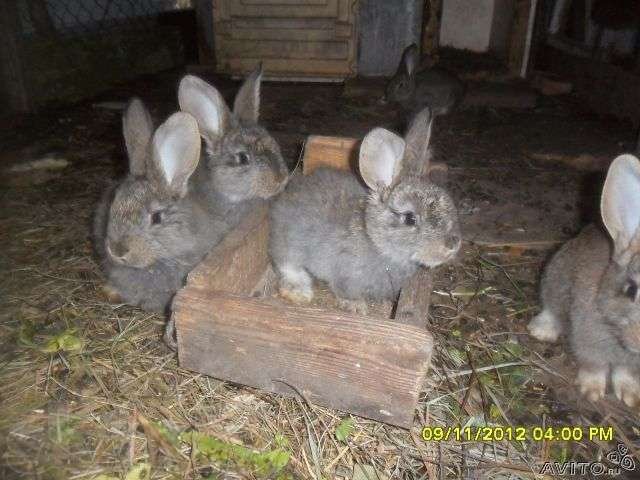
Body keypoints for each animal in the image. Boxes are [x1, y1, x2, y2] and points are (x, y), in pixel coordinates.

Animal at [268, 106, 460, 316]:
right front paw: (356, 307)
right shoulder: (345, 274)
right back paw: (300, 291)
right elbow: (345, 291)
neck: (375, 240)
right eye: (410, 218)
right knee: (287, 263)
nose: (452, 245)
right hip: (289, 240)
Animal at [528, 155, 640, 408]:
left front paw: (630, 396)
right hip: (554, 276)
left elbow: (625, 373)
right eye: (631, 289)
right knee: (550, 306)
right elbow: (594, 366)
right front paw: (592, 391)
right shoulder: (587, 339)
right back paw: (541, 330)